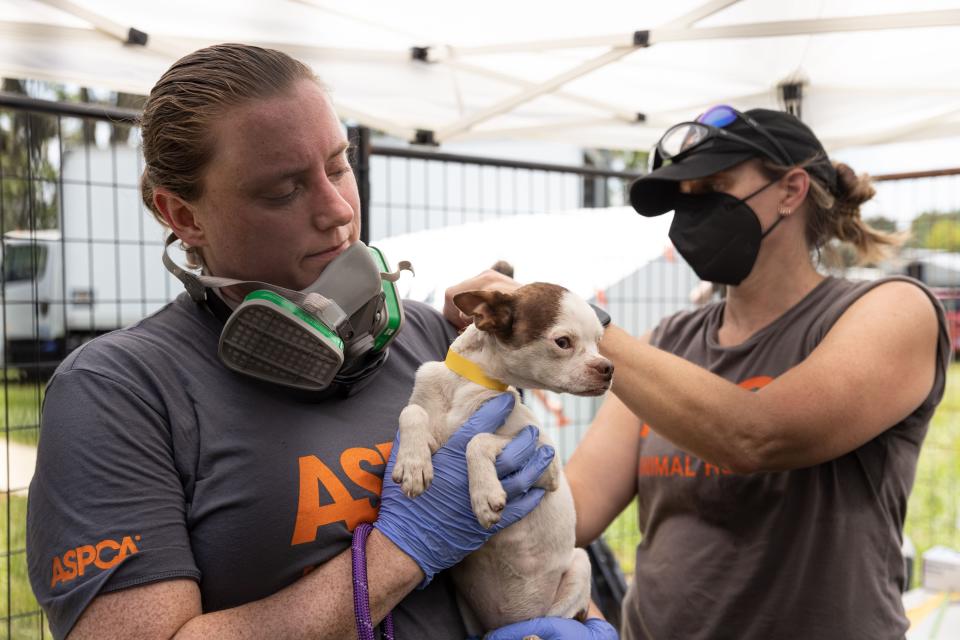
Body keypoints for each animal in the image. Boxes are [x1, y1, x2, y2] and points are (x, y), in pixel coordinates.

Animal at [394, 284, 612, 636]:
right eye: (563, 342)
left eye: (599, 342)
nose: (608, 367)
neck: (469, 383)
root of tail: (512, 620)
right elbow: (411, 411)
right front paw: (412, 465)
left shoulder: (546, 462)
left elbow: (477, 440)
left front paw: (484, 495)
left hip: (579, 566)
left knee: (553, 620)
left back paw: (534, 633)